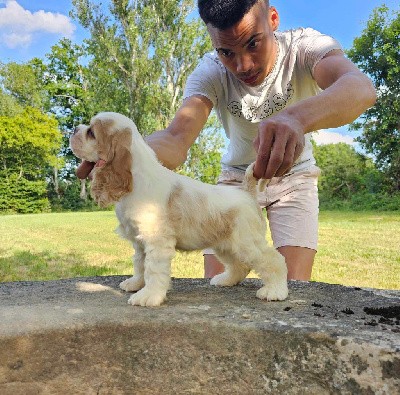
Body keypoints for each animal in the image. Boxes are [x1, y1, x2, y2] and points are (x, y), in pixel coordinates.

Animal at [69, 113, 288, 308]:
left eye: (91, 132)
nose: (73, 129)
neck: (135, 179)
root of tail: (246, 193)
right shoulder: (140, 243)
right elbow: (140, 265)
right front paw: (135, 284)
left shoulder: (157, 242)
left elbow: (153, 270)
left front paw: (148, 296)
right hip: (225, 244)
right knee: (239, 265)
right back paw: (225, 280)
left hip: (247, 243)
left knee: (274, 260)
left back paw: (275, 291)